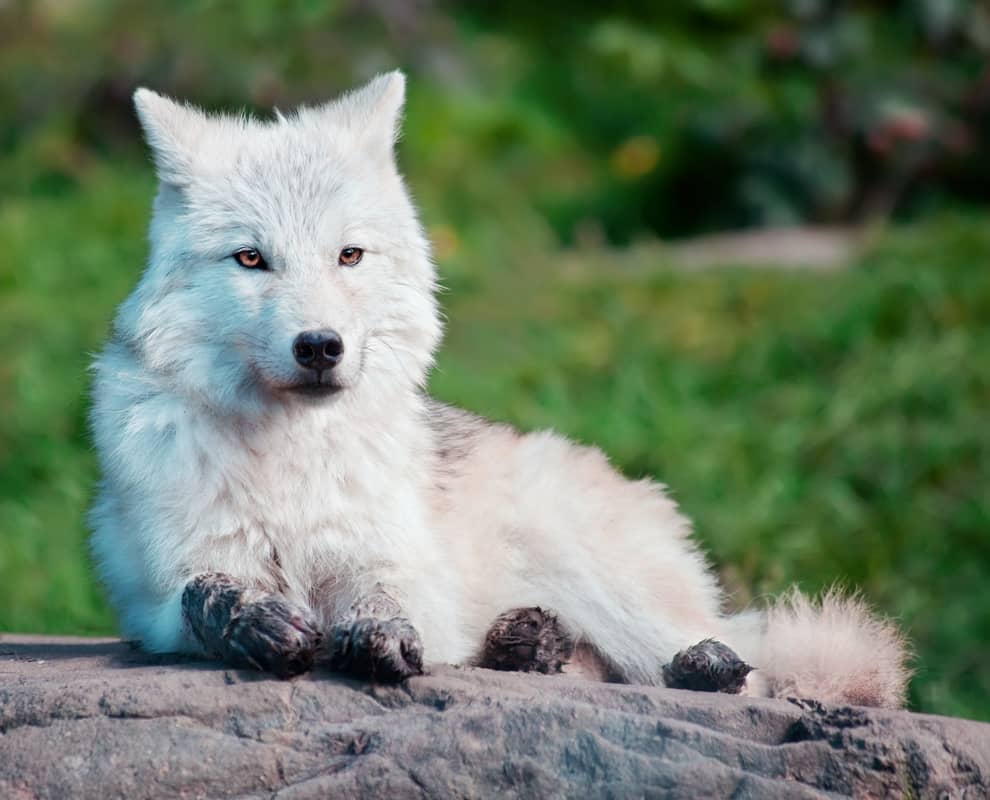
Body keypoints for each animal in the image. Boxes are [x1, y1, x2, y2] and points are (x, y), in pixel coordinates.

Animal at [89, 72, 909, 707]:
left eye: (349, 255)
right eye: (251, 259)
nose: (320, 346)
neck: (292, 460)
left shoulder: (392, 565)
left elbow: (379, 594)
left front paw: (377, 634)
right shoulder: (160, 599)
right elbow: (210, 592)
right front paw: (260, 623)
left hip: (593, 566)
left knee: (729, 669)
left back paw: (692, 665)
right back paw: (530, 645)